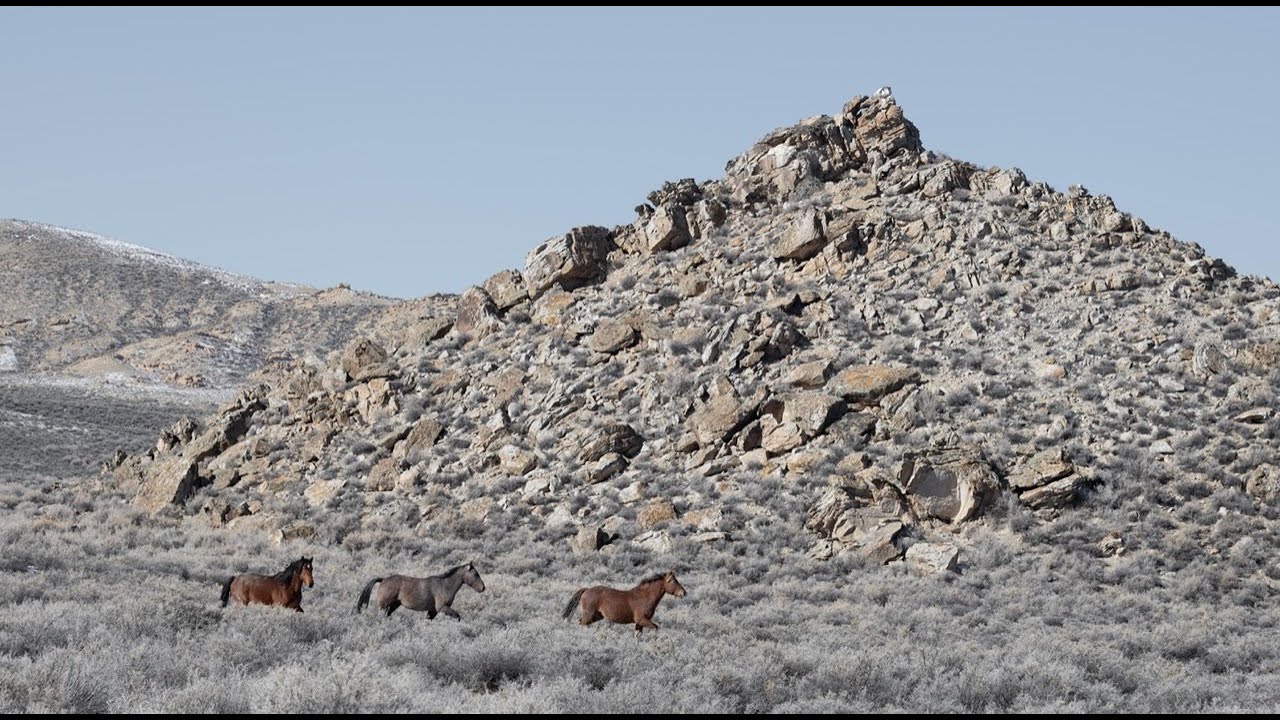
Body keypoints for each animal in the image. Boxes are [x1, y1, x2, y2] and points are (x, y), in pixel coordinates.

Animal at [355, 561, 486, 619]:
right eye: (475, 574)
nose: (483, 588)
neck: (445, 584)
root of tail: (383, 579)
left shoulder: (433, 611)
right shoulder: (442, 608)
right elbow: (457, 616)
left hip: (394, 605)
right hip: (383, 605)